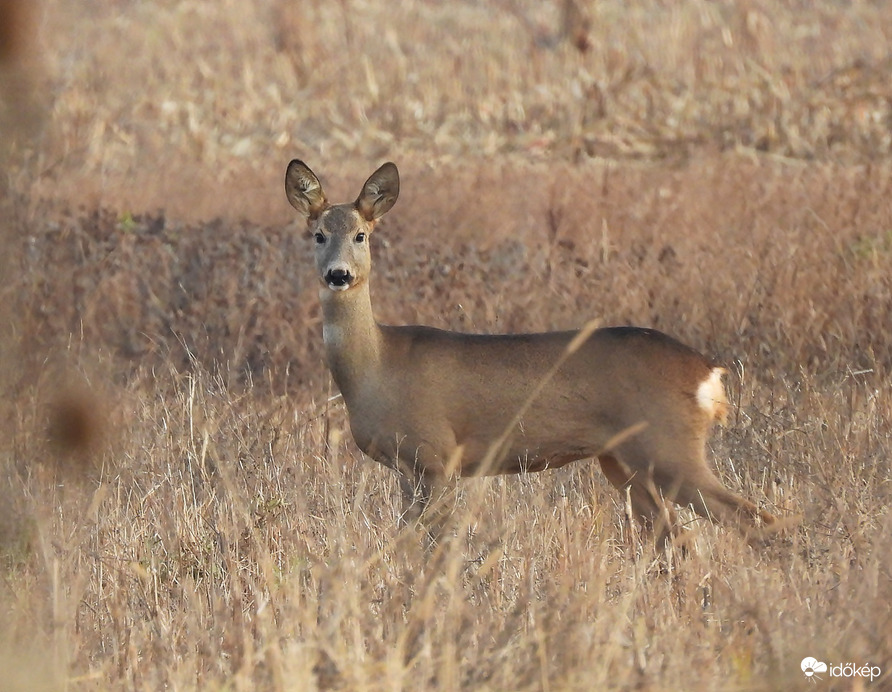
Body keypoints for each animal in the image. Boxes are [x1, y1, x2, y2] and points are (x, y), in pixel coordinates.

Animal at [284, 159, 772, 548]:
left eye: (361, 235)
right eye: (318, 235)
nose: (339, 275)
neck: (377, 366)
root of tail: (708, 371)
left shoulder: (438, 455)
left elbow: (432, 544)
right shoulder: (409, 469)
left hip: (669, 446)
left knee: (755, 520)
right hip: (625, 462)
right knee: (676, 539)